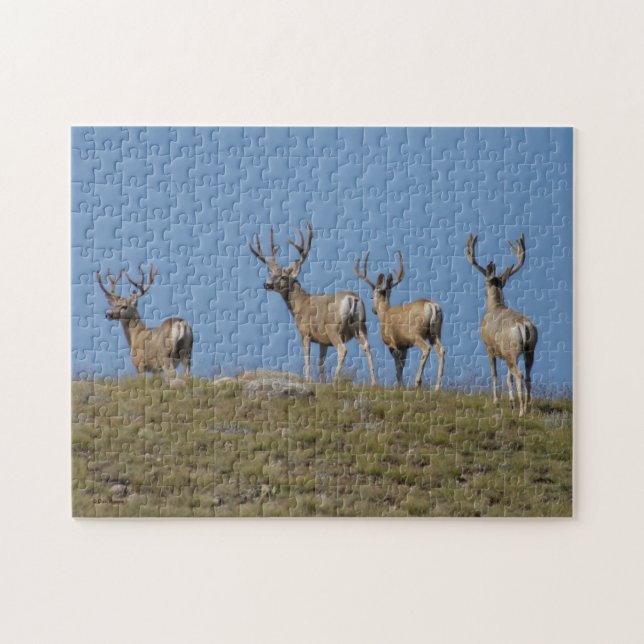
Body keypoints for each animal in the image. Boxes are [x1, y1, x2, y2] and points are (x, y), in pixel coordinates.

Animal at [248, 221, 377, 385]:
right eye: (272, 274)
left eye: (283, 276)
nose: (267, 284)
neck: (300, 305)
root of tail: (352, 298)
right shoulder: (323, 341)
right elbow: (320, 362)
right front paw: (321, 382)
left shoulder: (305, 332)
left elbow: (307, 359)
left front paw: (308, 379)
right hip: (361, 325)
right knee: (367, 346)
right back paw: (374, 382)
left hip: (333, 327)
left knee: (343, 349)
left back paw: (335, 380)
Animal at [355, 251, 445, 390]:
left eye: (372, 296)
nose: (373, 310)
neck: (385, 314)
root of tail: (431, 305)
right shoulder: (404, 345)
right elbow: (402, 365)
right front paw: (401, 385)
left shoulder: (392, 342)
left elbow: (397, 366)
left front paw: (400, 385)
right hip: (435, 333)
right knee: (441, 350)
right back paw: (436, 387)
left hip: (416, 334)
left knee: (426, 348)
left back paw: (418, 382)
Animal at [465, 233, 538, 416]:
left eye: (485, 282)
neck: (494, 306)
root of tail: (523, 325)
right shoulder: (504, 353)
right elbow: (507, 377)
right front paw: (511, 402)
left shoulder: (489, 347)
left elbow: (495, 373)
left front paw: (496, 401)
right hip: (529, 349)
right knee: (527, 375)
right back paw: (527, 406)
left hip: (512, 349)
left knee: (518, 374)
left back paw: (522, 411)